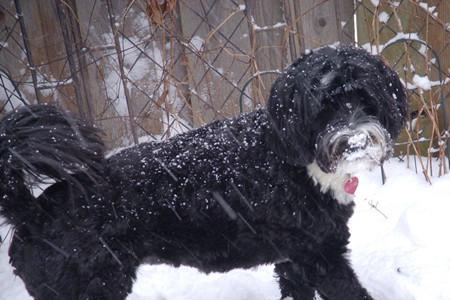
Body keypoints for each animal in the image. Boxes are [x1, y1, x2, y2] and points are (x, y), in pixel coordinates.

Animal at [0, 45, 408, 298]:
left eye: (365, 99)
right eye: (323, 108)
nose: (355, 140)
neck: (293, 154)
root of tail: (33, 211)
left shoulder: (294, 259)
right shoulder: (322, 256)